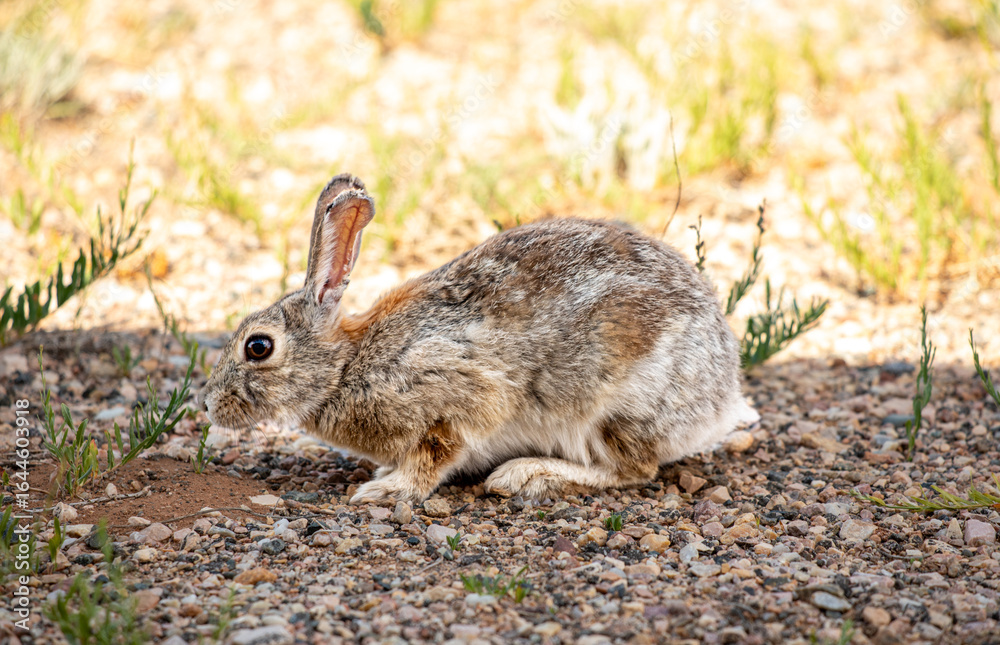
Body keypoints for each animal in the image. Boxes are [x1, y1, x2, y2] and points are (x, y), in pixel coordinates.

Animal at [200, 173, 759, 504]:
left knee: (634, 470)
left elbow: (435, 454)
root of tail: (722, 398)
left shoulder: (453, 394)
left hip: (615, 410)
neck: (343, 368)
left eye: (258, 347)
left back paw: (524, 474)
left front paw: (384, 491)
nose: (208, 405)